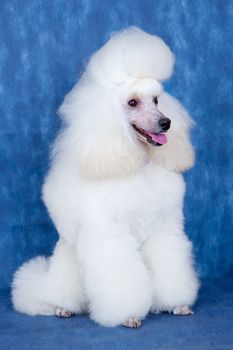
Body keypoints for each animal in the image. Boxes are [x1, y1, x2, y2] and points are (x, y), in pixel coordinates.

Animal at [11, 27, 199, 328]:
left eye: (157, 100)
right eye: (132, 102)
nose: (166, 123)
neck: (137, 163)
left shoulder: (163, 228)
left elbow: (169, 264)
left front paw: (176, 304)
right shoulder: (110, 235)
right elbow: (119, 275)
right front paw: (129, 315)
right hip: (68, 258)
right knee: (60, 291)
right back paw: (62, 308)